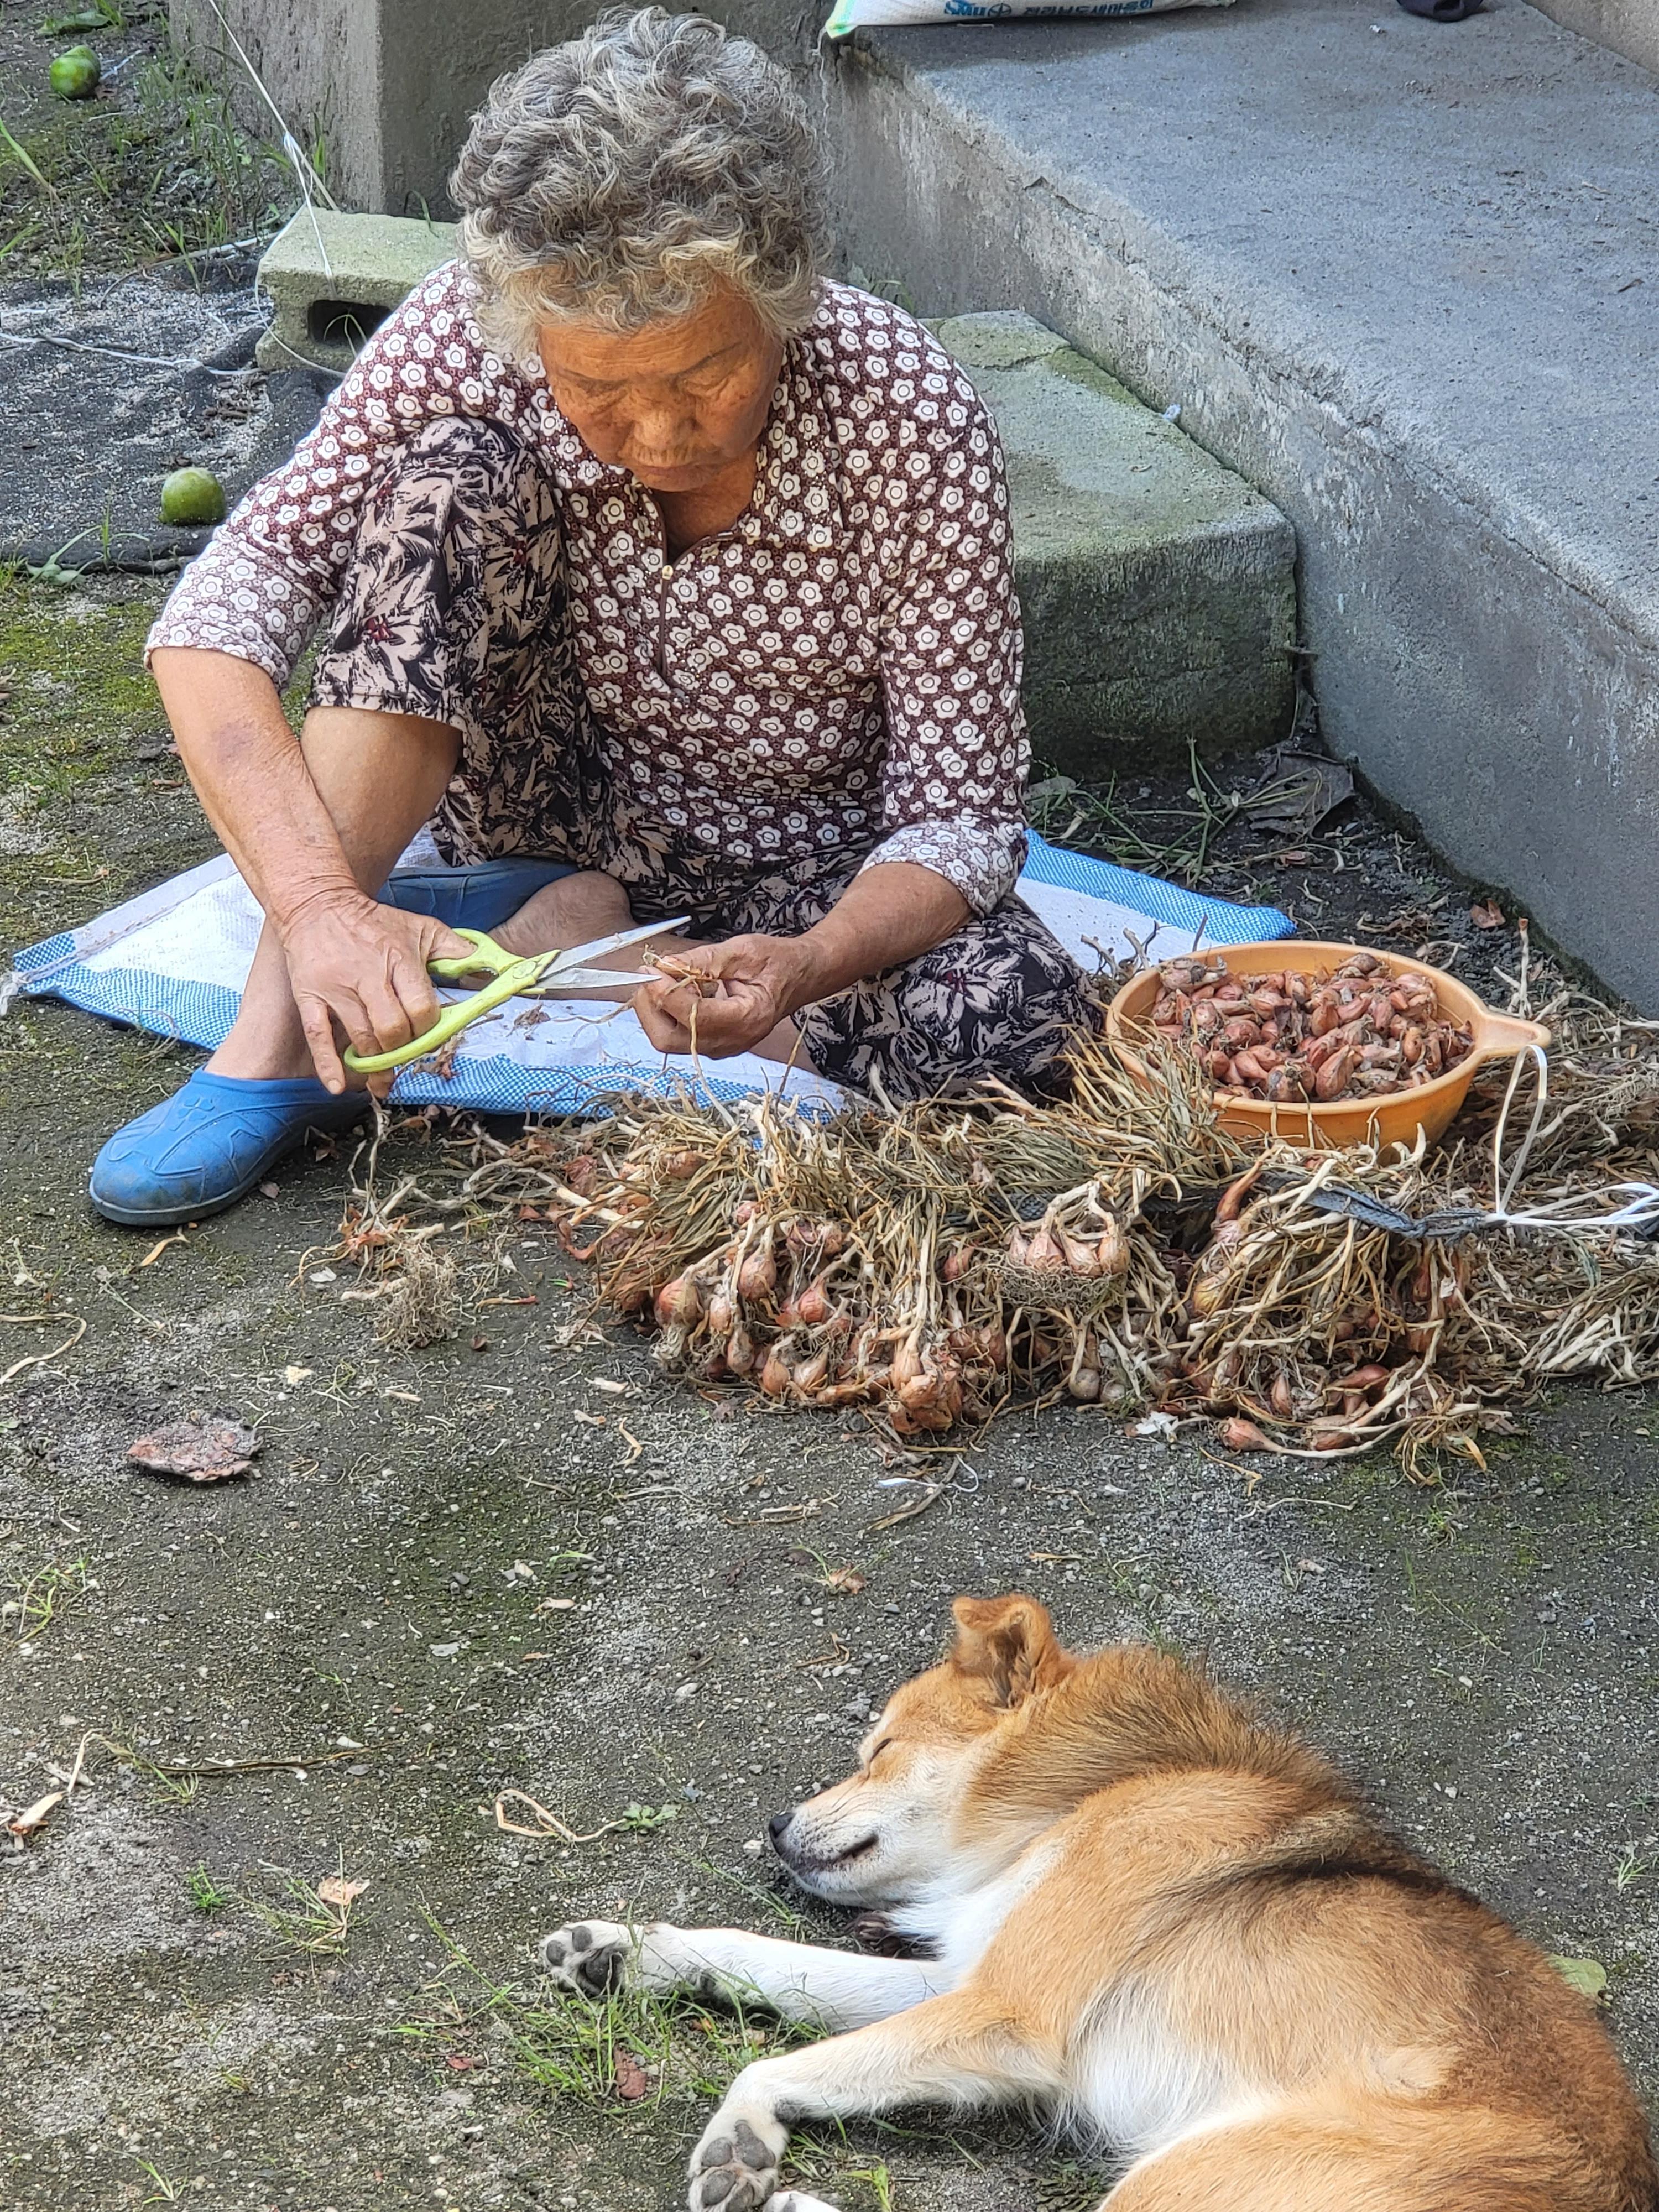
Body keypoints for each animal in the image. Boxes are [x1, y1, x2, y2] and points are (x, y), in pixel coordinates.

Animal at [540, 1594, 1658, 2212]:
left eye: (880, 1749)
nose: (774, 1826)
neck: (1082, 1796)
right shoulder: (966, 1981)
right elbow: (768, 1965)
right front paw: (628, 1951)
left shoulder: (1003, 2012)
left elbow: (775, 2064)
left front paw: (743, 2135)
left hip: (1183, 2180)